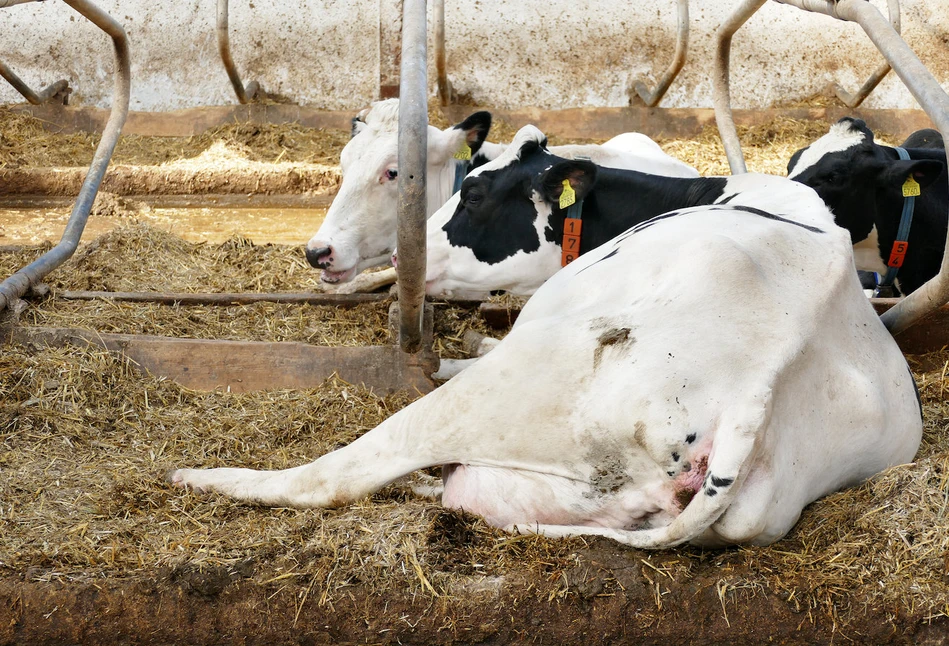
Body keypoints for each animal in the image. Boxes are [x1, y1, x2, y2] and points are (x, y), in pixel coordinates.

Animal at [170, 171, 920, 548]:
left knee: (337, 475)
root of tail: (754, 398)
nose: (323, 257)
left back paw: (204, 476)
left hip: (520, 382)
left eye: (474, 195)